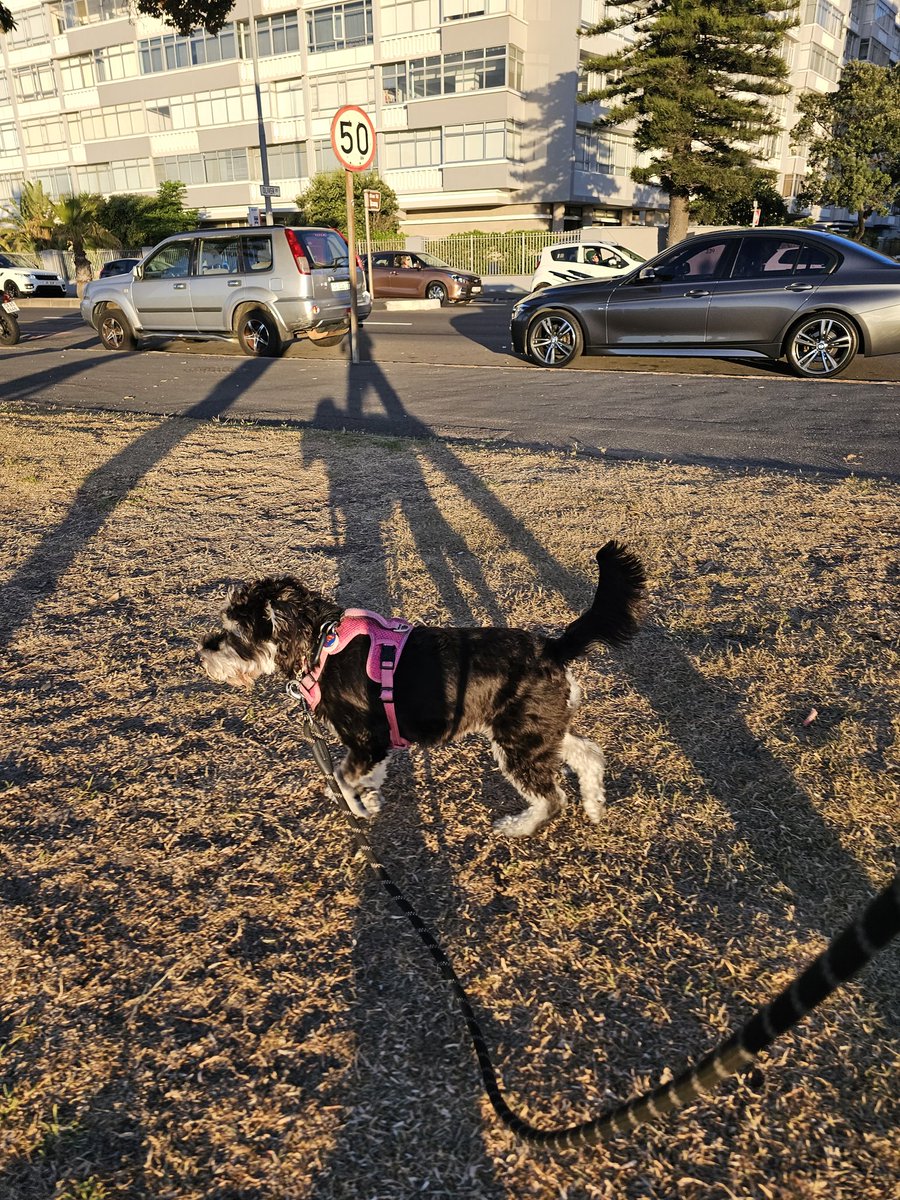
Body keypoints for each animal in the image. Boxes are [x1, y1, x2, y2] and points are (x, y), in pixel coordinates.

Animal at [200, 542, 643, 835]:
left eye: (234, 632)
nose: (202, 654)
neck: (321, 644)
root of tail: (552, 647)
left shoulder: (366, 740)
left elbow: (343, 777)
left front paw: (356, 807)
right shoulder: (375, 746)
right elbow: (365, 775)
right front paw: (370, 796)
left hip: (520, 742)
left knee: (552, 797)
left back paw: (518, 826)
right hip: (537, 731)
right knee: (589, 754)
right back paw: (595, 806)